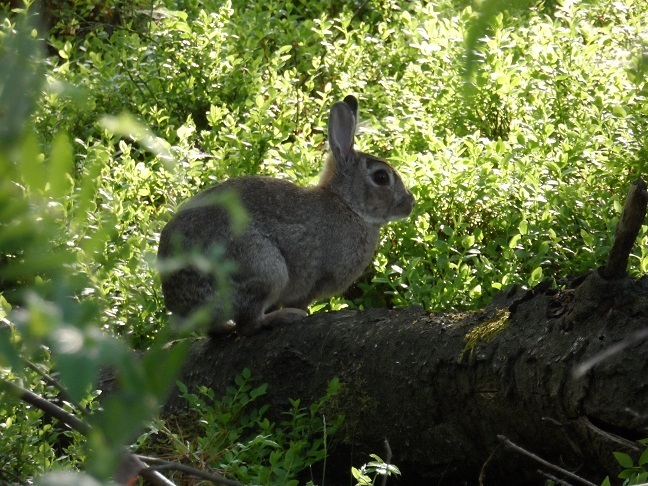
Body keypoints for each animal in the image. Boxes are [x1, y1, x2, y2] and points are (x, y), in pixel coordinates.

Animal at [159, 95, 418, 338]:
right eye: (381, 178)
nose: (410, 203)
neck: (347, 204)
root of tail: (180, 303)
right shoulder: (315, 281)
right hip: (264, 268)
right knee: (248, 324)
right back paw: (284, 317)